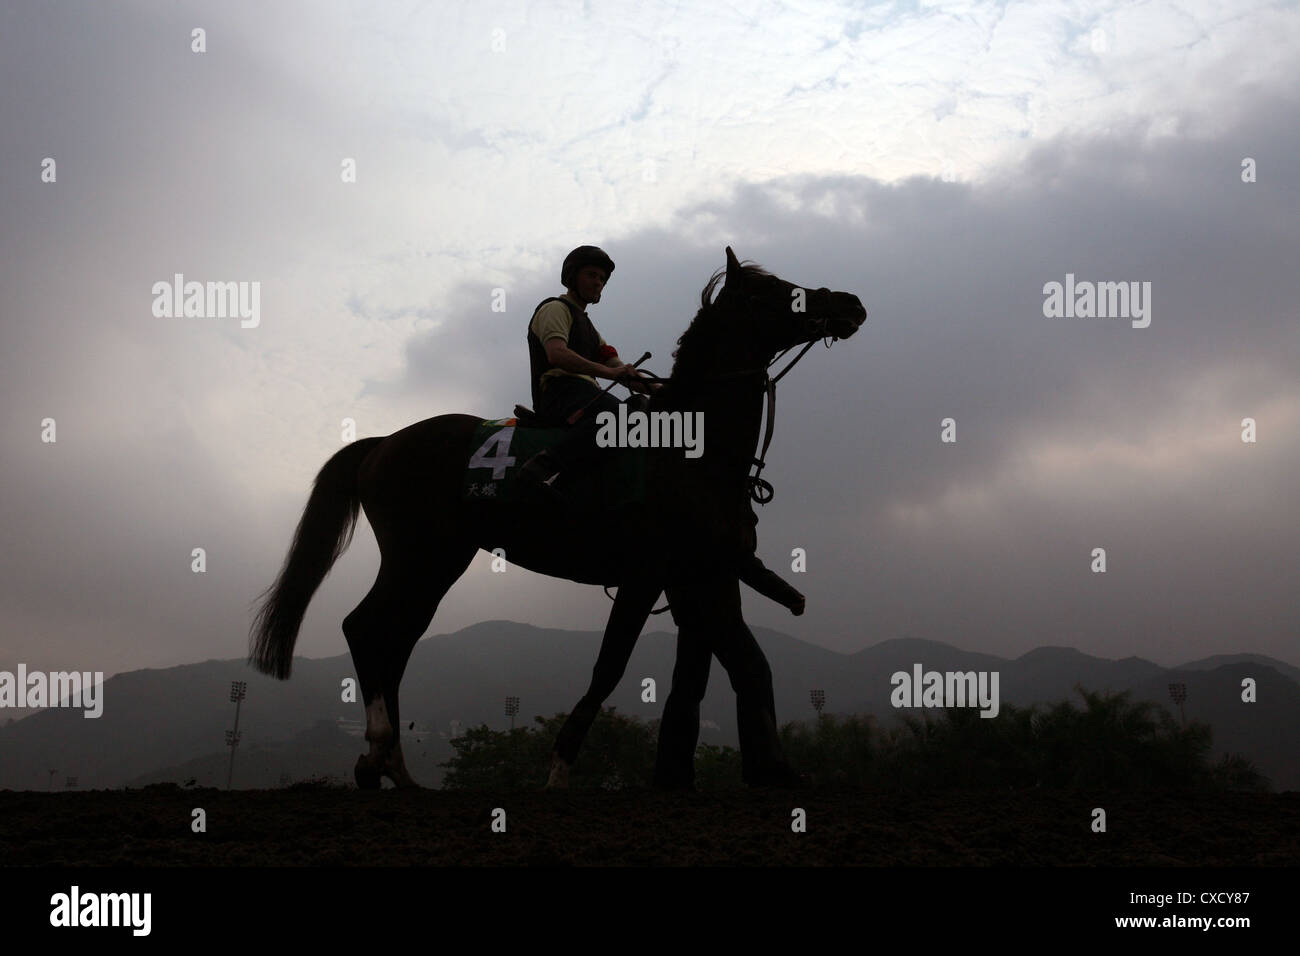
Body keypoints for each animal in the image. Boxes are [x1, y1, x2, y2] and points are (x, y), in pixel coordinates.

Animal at [248, 248, 868, 790]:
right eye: (770, 291)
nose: (850, 302)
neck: (691, 454)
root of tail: (383, 443)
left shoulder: (703, 578)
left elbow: (729, 667)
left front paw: (742, 771)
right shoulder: (653, 575)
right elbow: (618, 667)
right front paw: (561, 770)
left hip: (438, 561)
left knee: (396, 637)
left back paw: (393, 768)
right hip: (421, 554)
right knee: (368, 627)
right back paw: (378, 755)